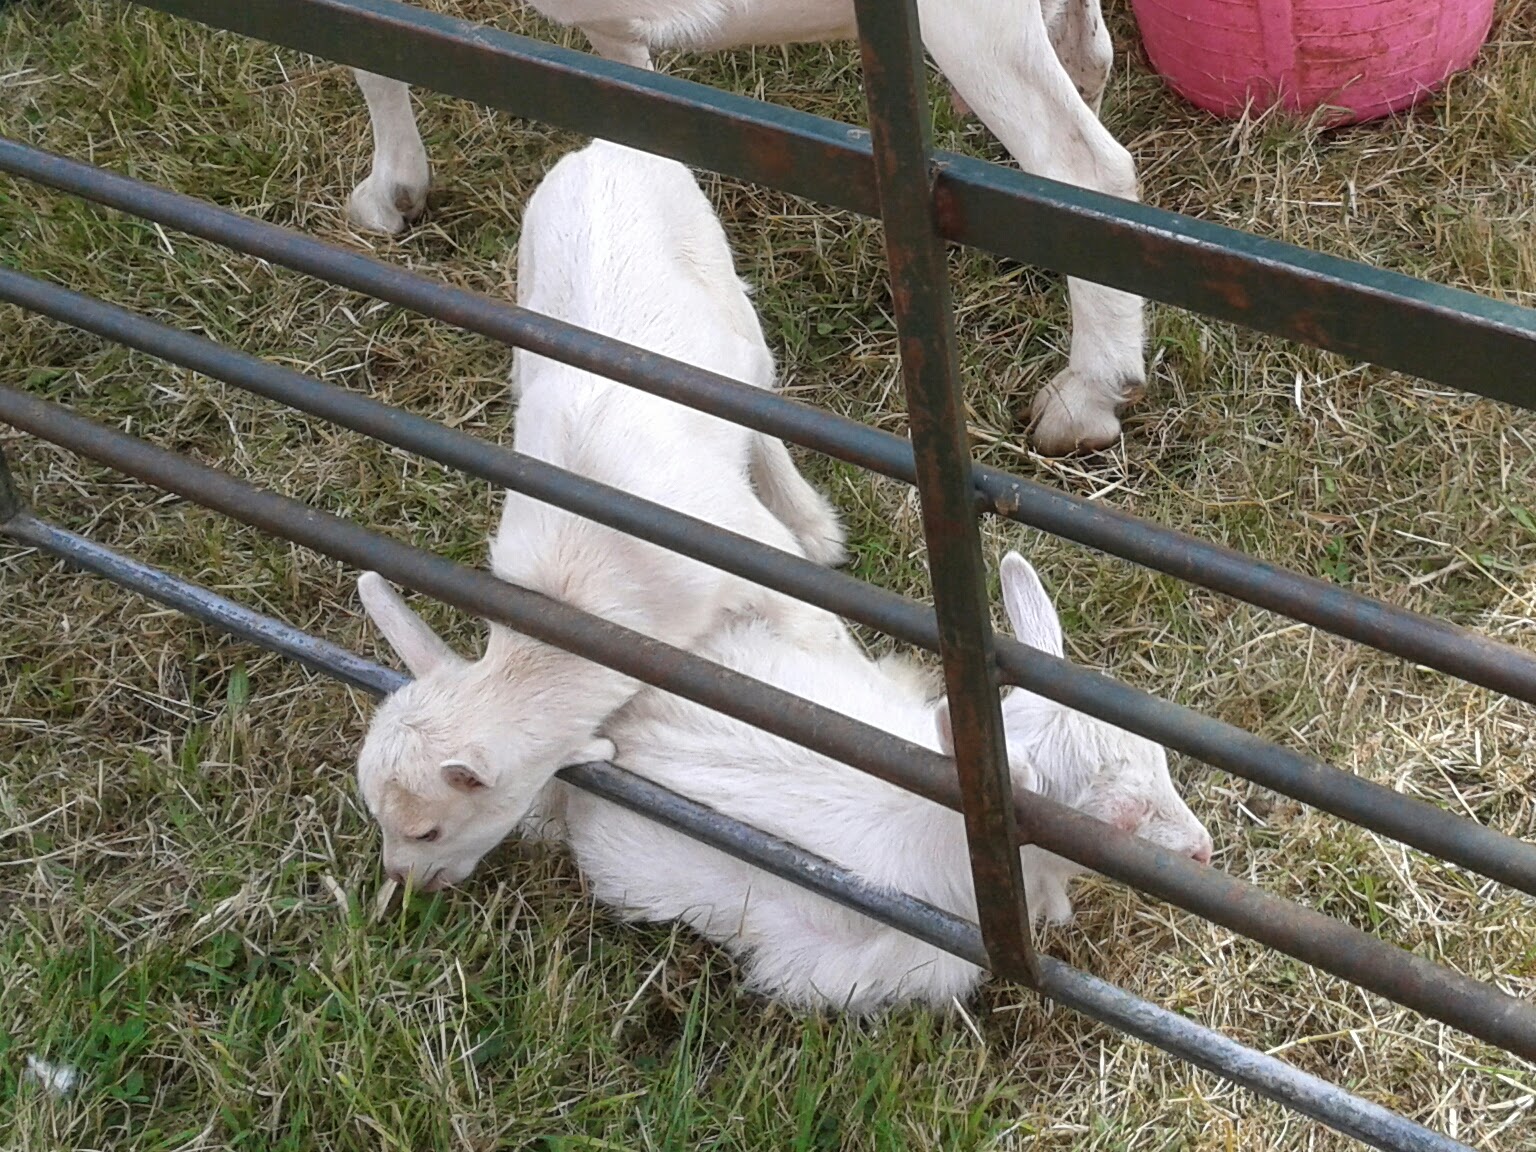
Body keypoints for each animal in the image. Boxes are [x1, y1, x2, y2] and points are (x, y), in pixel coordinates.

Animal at [345, 0, 1145, 456]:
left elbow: (372, 52)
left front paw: (392, 191)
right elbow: (629, 87)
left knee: (1086, 167)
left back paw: (1085, 398)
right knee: (1087, 55)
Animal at [354, 138, 849, 892]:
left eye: (426, 829)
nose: (408, 885)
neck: (577, 597)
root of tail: (603, 149)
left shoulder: (751, 562)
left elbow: (819, 644)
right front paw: (550, 815)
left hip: (723, 287)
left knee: (759, 399)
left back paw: (814, 522)